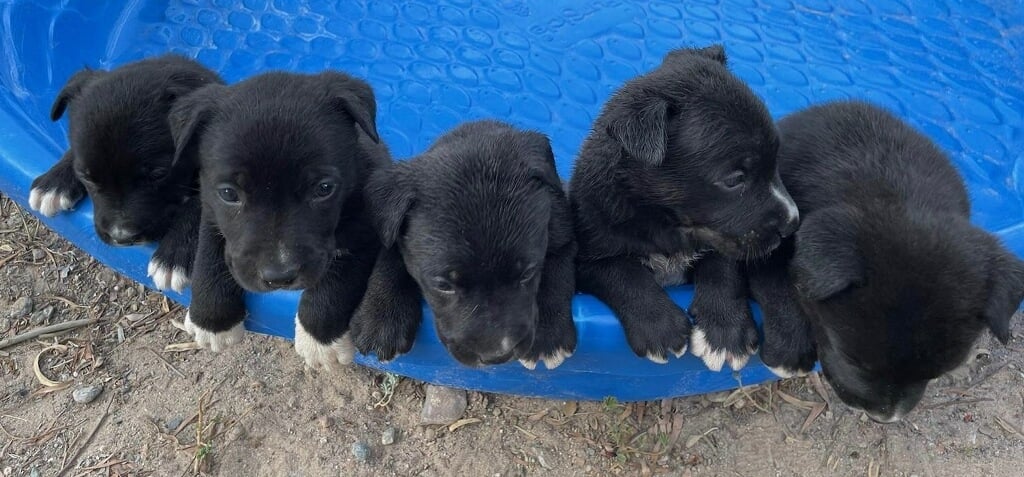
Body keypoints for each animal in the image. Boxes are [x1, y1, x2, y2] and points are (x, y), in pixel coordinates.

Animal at [29, 56, 222, 294]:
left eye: (158, 174)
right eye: (87, 177)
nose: (121, 237)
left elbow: (202, 202)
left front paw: (174, 256)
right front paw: (53, 184)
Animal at [172, 70, 387, 364]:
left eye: (324, 189)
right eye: (229, 193)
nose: (279, 277)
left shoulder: (364, 227)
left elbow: (338, 277)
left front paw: (319, 341)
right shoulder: (212, 206)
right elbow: (210, 250)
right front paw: (211, 320)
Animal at [350, 119, 577, 368]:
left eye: (527, 274)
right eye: (443, 285)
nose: (497, 355)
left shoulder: (562, 224)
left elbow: (558, 266)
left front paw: (549, 336)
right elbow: (391, 253)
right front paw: (381, 316)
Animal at [569, 45, 798, 368]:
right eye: (735, 179)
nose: (792, 222)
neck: (667, 223)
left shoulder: (723, 238)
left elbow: (722, 266)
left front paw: (725, 330)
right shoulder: (590, 252)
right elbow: (623, 274)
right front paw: (660, 328)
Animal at [745, 101, 1024, 421]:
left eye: (934, 374)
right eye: (851, 360)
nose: (885, 417)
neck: (893, 190)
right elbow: (777, 282)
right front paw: (789, 349)